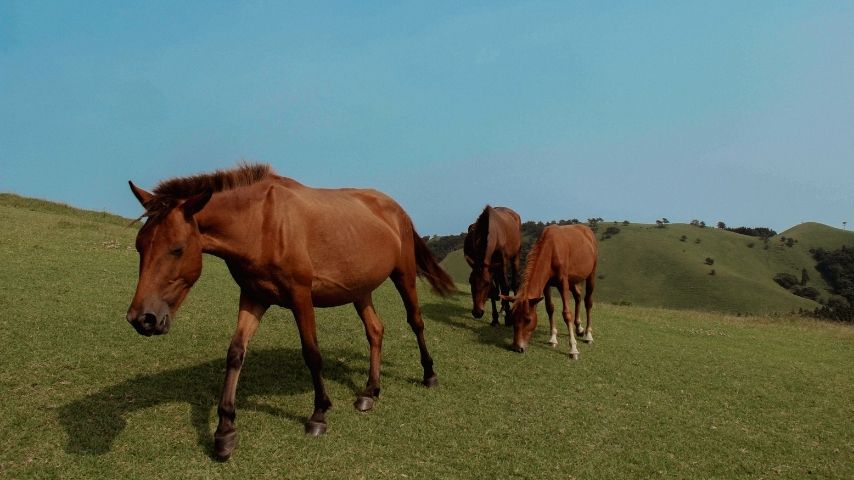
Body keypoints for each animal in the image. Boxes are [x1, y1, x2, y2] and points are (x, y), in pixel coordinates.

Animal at [125, 163, 455, 460]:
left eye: (177, 249)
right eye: (140, 246)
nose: (143, 319)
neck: (261, 223)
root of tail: (395, 208)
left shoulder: (300, 297)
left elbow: (312, 354)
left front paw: (319, 414)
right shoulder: (253, 297)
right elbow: (235, 353)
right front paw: (225, 431)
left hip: (404, 276)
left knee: (416, 322)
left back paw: (429, 375)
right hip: (360, 289)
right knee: (375, 330)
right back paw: (370, 391)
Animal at [501, 224, 597, 359]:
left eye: (528, 320)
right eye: (513, 317)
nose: (517, 347)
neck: (551, 250)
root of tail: (587, 231)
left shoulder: (563, 282)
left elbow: (566, 313)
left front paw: (573, 349)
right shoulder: (546, 284)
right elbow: (549, 308)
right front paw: (553, 338)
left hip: (591, 274)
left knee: (588, 302)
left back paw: (588, 335)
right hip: (573, 279)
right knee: (578, 296)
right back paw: (579, 327)